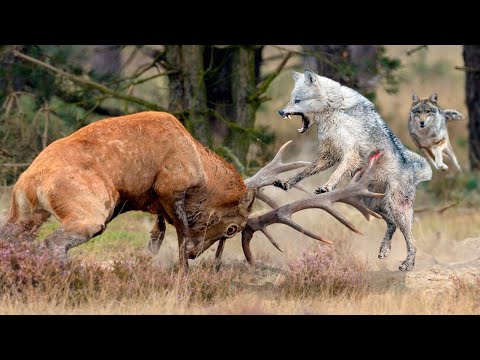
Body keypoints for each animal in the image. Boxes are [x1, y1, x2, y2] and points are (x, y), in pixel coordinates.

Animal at [272, 69, 434, 270]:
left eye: (297, 100)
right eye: (292, 98)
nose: (280, 111)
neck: (333, 110)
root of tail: (414, 172)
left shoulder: (350, 153)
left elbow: (336, 173)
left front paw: (326, 187)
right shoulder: (328, 155)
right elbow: (304, 171)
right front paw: (286, 183)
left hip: (396, 208)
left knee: (412, 240)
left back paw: (407, 264)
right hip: (369, 203)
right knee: (391, 224)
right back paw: (384, 250)